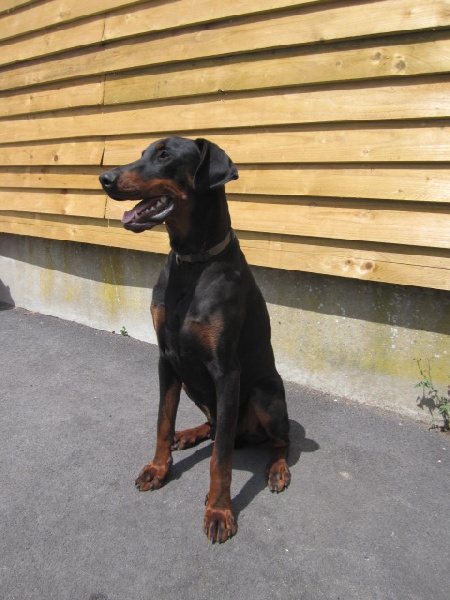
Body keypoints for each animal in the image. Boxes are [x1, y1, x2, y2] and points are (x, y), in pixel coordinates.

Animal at [99, 137, 290, 543]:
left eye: (165, 155)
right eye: (142, 152)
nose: (104, 177)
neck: (192, 262)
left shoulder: (226, 370)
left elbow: (221, 460)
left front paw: (219, 511)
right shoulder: (167, 359)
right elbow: (162, 421)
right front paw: (159, 468)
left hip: (265, 394)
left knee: (274, 439)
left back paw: (278, 469)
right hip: (191, 382)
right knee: (215, 426)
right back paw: (188, 434)